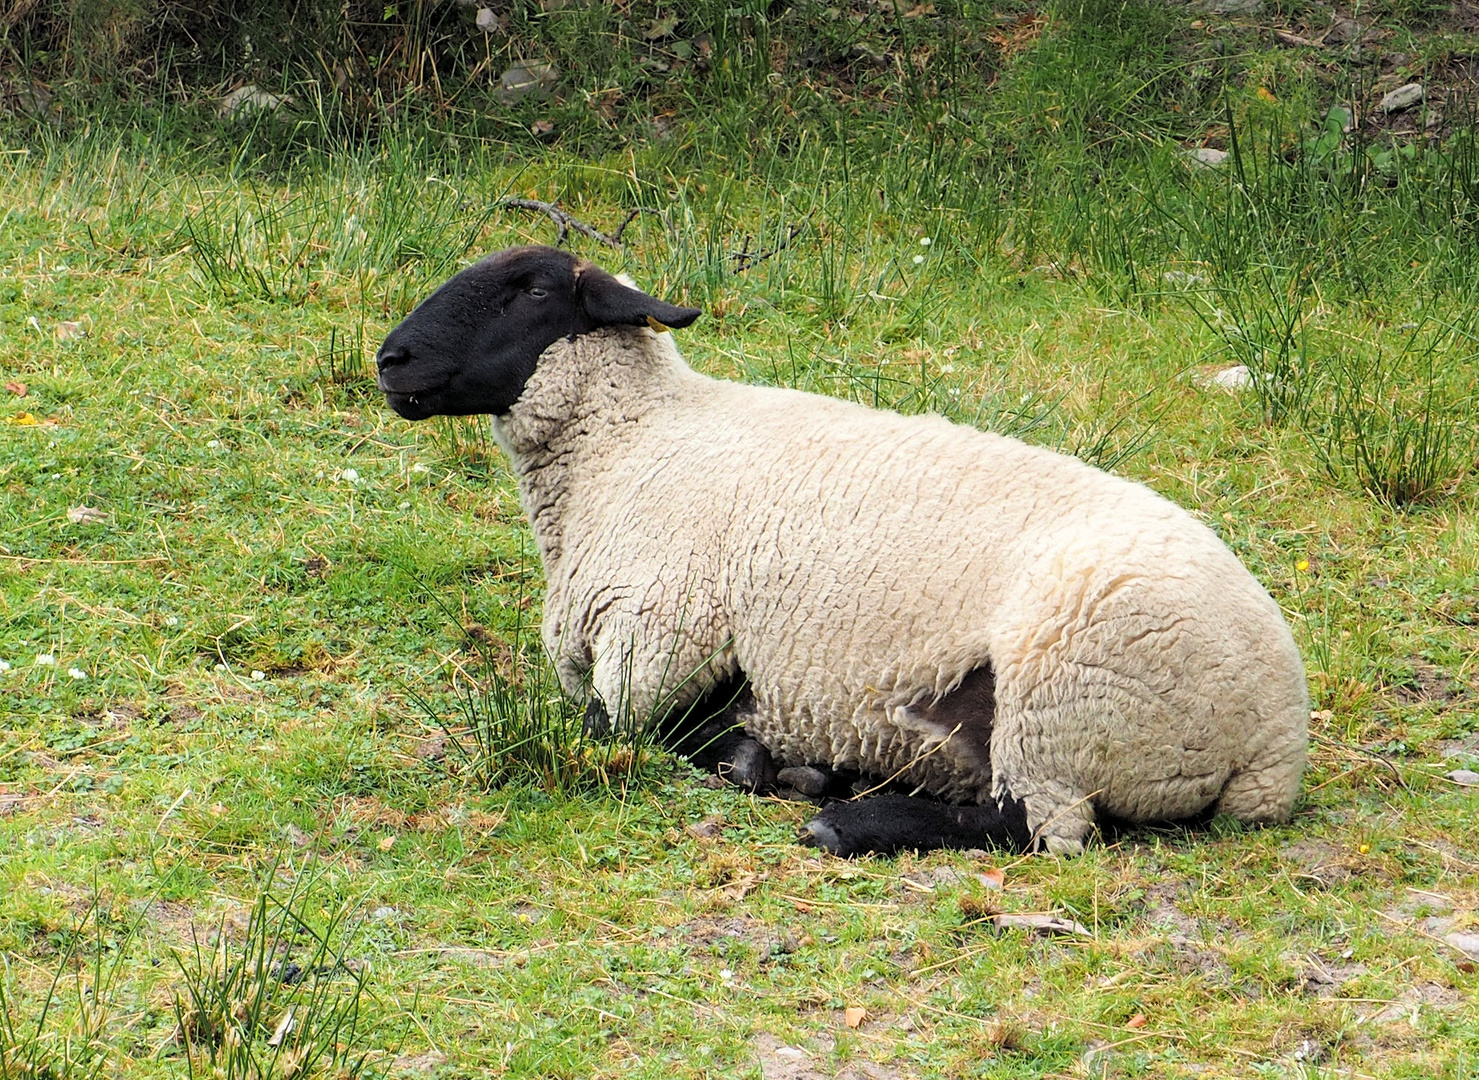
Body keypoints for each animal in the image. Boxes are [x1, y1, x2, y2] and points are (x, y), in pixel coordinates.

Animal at [378, 242, 1307, 852]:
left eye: (532, 289)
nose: (391, 358)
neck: (632, 445)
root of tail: (1272, 742)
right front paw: (774, 755)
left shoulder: (655, 643)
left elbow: (629, 729)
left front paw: (761, 759)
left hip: (1061, 705)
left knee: (1038, 824)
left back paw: (844, 818)